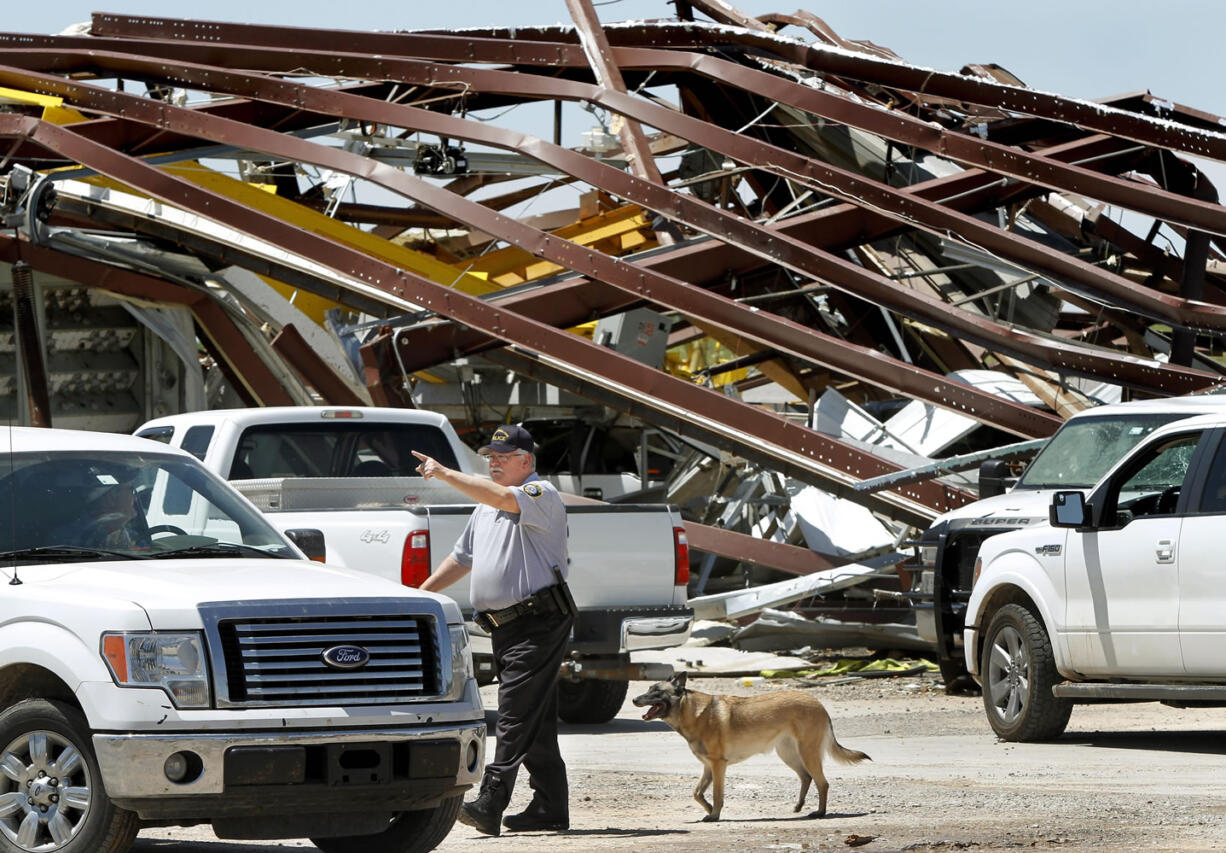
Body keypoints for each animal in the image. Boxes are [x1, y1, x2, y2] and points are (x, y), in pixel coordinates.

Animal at [637, 671, 868, 823]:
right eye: (648, 689)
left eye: (656, 691)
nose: (634, 699)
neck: (693, 712)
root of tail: (818, 703)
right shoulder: (708, 767)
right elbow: (697, 793)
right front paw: (710, 809)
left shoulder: (718, 766)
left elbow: (717, 794)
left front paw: (714, 814)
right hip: (789, 754)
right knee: (806, 777)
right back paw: (799, 806)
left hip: (807, 753)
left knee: (822, 783)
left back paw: (820, 812)